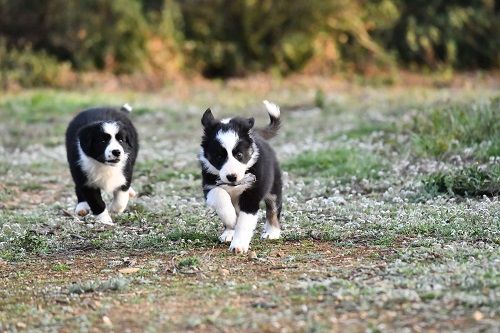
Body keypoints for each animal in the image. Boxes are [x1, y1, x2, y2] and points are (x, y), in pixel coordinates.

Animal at [198, 100, 282, 253]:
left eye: (239, 155)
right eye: (219, 157)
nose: (232, 177)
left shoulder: (252, 193)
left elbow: (244, 222)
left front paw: (238, 245)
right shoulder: (209, 185)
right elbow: (219, 196)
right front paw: (230, 219)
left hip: (274, 187)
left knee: (273, 209)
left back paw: (272, 232)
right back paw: (228, 232)